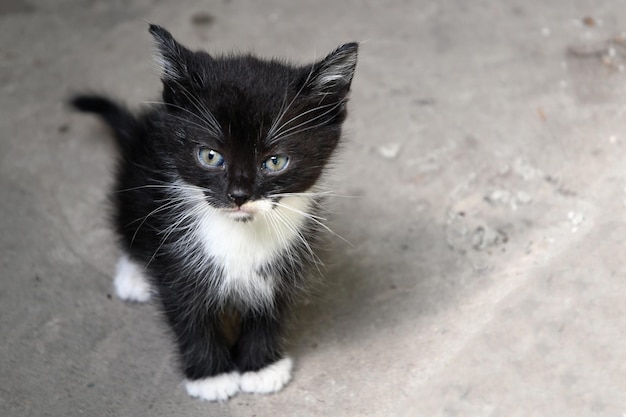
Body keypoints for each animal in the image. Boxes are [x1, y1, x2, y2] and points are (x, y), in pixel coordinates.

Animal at [72, 25, 356, 400]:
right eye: (210, 156)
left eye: (275, 162)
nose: (238, 195)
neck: (240, 229)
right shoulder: (174, 252)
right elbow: (187, 313)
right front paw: (211, 376)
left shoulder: (287, 255)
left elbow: (272, 305)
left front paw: (261, 367)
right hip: (134, 185)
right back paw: (134, 274)